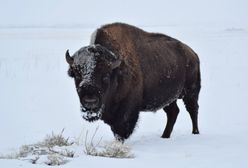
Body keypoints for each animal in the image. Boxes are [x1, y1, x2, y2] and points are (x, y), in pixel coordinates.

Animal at [66, 22, 202, 140]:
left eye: (105, 75)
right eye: (76, 75)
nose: (90, 101)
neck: (116, 70)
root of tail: (193, 54)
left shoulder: (126, 110)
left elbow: (121, 130)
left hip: (191, 93)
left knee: (193, 110)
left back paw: (195, 133)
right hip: (169, 98)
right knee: (173, 112)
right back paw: (165, 136)